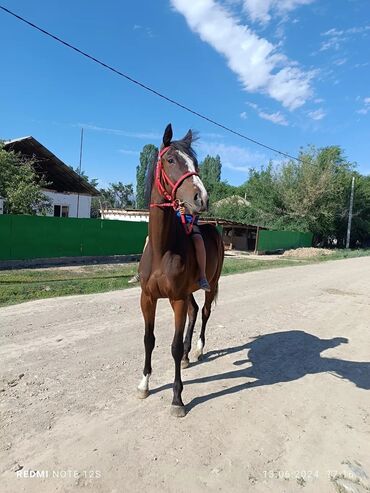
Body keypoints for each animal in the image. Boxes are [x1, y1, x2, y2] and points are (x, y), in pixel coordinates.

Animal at [137, 122, 224, 416]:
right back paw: (188, 356)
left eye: (195, 163)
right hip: (188, 292)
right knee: (194, 312)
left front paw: (177, 398)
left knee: (204, 313)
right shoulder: (148, 298)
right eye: (171, 160)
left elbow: (173, 346)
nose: (201, 198)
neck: (162, 249)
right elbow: (149, 339)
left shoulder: (175, 299)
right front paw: (144, 384)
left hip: (210, 285)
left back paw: (196, 350)